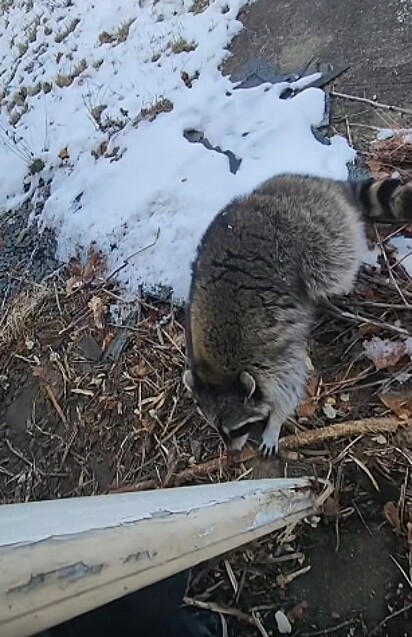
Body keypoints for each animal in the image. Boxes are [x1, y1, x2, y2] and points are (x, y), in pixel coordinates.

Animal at [183, 173, 412, 458]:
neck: (217, 372)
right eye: (216, 428)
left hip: (318, 232)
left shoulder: (273, 355)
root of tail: (314, 182)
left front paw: (274, 424)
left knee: (333, 269)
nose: (233, 453)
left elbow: (289, 386)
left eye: (237, 429)